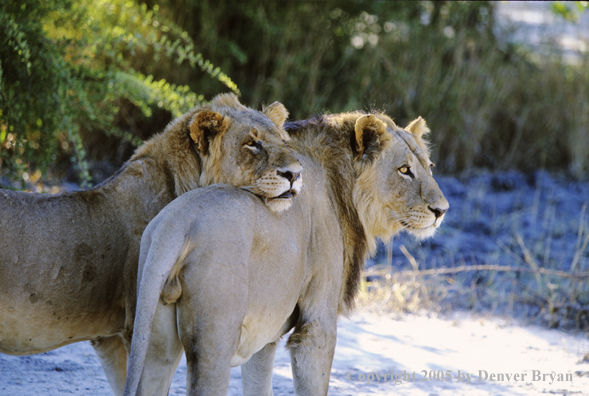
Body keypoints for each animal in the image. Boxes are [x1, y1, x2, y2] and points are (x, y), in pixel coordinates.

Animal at [121, 112, 448, 396]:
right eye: (404, 170)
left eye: (430, 166)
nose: (442, 211)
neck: (342, 188)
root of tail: (176, 223)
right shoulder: (316, 324)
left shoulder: (264, 337)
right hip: (214, 340)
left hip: (157, 339)